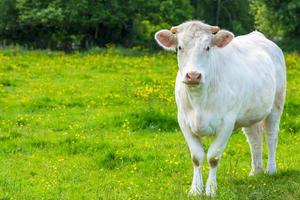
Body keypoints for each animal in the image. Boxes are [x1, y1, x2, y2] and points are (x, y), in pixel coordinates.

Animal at [155, 21, 286, 196]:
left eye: (208, 47)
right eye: (180, 47)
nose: (193, 76)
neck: (199, 101)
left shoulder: (227, 123)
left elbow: (213, 157)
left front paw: (211, 189)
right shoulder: (183, 121)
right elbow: (196, 157)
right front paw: (195, 189)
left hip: (276, 104)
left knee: (271, 136)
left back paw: (271, 170)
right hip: (250, 113)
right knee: (254, 138)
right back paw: (255, 171)